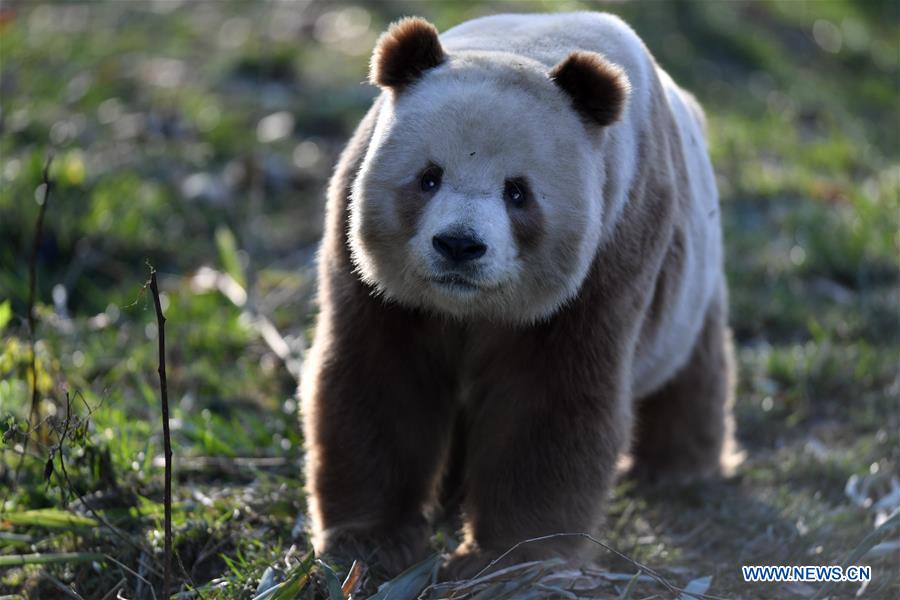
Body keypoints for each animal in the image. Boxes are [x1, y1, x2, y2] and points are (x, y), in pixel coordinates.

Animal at [302, 11, 740, 580]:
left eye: (518, 192)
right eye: (428, 178)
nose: (459, 245)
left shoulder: (609, 256)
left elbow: (549, 401)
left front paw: (504, 558)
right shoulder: (365, 259)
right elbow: (381, 381)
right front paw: (369, 543)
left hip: (692, 278)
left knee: (693, 372)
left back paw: (679, 470)